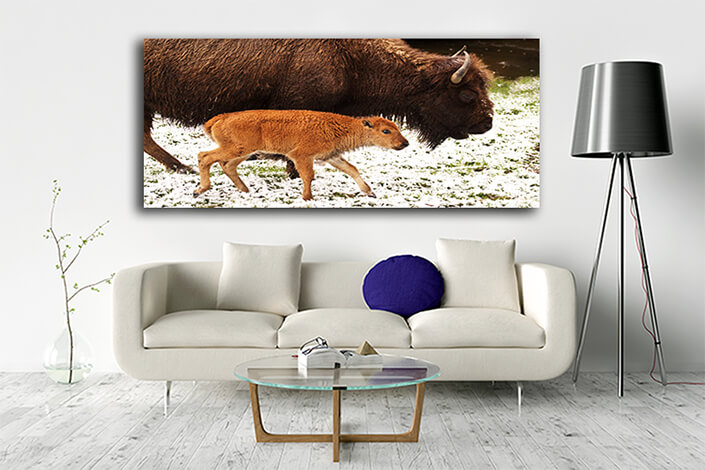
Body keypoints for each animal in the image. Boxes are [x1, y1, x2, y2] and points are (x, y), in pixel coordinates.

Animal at [194, 110, 409, 201]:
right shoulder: (302, 156)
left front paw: (370, 192)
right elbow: (308, 175)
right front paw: (308, 197)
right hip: (237, 149)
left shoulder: (332, 157)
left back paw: (245, 190)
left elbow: (351, 169)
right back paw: (200, 190)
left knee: (227, 165)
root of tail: (221, 117)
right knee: (204, 156)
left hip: (245, 152)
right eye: (386, 131)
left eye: (397, 128)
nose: (405, 143)